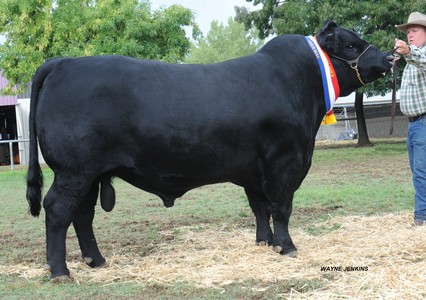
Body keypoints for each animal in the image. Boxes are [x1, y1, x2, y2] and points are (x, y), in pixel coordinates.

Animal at [25, 21, 392, 282]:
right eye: (351, 44)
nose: (389, 57)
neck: (298, 82)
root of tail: (63, 62)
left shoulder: (253, 170)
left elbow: (260, 208)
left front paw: (264, 242)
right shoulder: (285, 162)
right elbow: (281, 207)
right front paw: (286, 247)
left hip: (89, 174)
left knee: (82, 215)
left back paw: (96, 261)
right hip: (74, 171)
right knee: (58, 211)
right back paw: (60, 272)